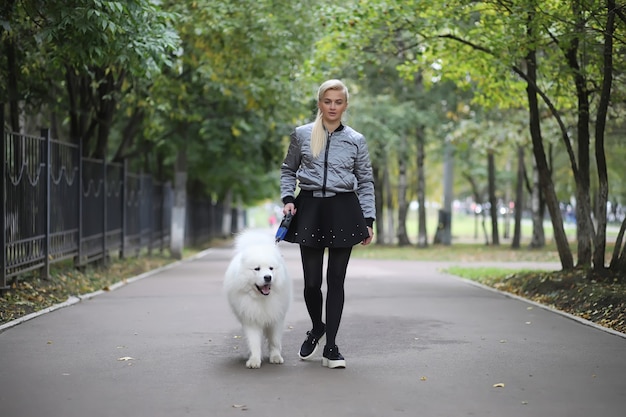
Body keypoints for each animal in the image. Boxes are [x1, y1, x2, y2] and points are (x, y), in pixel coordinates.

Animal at [223, 228, 292, 368]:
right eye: (257, 269)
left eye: (271, 268)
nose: (268, 277)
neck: (262, 298)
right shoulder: (251, 318)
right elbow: (254, 342)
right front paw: (254, 360)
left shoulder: (276, 318)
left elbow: (274, 340)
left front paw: (276, 357)